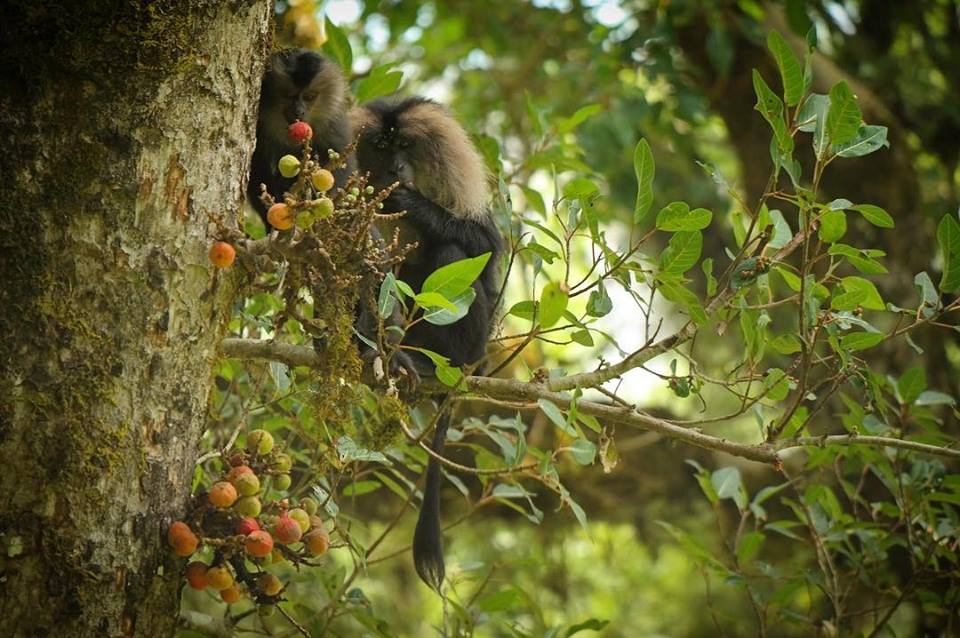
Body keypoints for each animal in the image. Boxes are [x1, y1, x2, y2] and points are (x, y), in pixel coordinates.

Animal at [350, 97, 502, 592]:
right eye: (380, 146)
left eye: (405, 146)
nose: (396, 168)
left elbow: (485, 247)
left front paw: (410, 201)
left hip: (469, 343)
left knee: (452, 253)